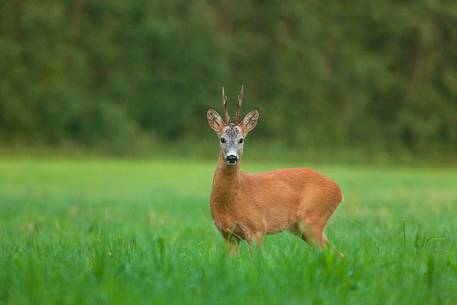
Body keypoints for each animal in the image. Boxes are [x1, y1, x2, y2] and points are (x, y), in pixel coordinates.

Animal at [207, 86, 342, 254]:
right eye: (222, 139)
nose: (232, 157)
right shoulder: (227, 234)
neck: (232, 201)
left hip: (313, 219)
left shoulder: (258, 227)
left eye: (241, 139)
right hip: (302, 228)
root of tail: (338, 190)